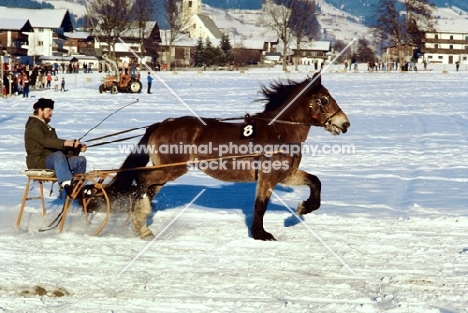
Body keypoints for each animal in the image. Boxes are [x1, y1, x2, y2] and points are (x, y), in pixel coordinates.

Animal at [97, 72, 350, 240]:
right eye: (325, 99)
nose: (345, 124)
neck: (280, 131)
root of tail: (161, 124)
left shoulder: (286, 174)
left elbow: (315, 181)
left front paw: (304, 208)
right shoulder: (268, 176)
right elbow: (260, 206)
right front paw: (260, 234)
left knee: (147, 187)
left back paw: (142, 225)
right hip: (173, 168)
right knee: (141, 180)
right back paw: (141, 222)